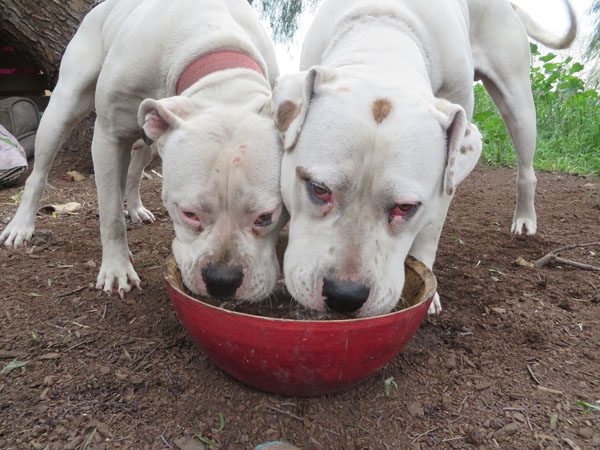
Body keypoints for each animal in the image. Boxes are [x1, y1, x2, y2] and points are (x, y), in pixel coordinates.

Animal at [1, 0, 288, 302]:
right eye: (188, 213)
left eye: (266, 217)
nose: (222, 280)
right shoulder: (108, 137)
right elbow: (112, 216)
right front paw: (116, 269)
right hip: (64, 106)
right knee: (40, 174)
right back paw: (21, 226)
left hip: (144, 140)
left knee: (131, 176)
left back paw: (136, 209)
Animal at [274, 0, 576, 316]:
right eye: (319, 189)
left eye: (406, 207)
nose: (345, 295)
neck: (384, 35)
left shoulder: (445, 178)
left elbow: (429, 232)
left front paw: (430, 296)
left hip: (518, 101)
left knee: (526, 168)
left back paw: (525, 219)